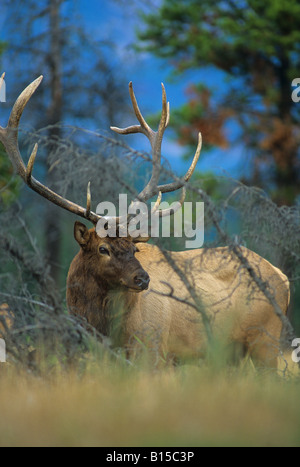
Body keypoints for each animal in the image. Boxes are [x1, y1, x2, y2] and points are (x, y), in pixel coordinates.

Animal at [0, 73, 290, 368]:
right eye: (103, 249)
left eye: (134, 248)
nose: (142, 279)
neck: (101, 328)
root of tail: (283, 277)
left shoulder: (151, 348)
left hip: (266, 341)